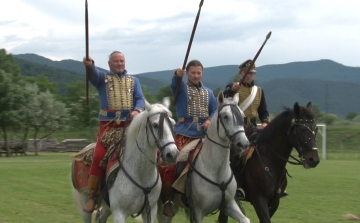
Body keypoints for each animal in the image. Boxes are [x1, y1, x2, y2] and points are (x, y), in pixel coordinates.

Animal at [158, 92, 250, 223]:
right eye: (225, 116)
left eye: (243, 116)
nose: (243, 144)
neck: (216, 171)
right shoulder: (198, 212)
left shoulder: (229, 205)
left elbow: (245, 219)